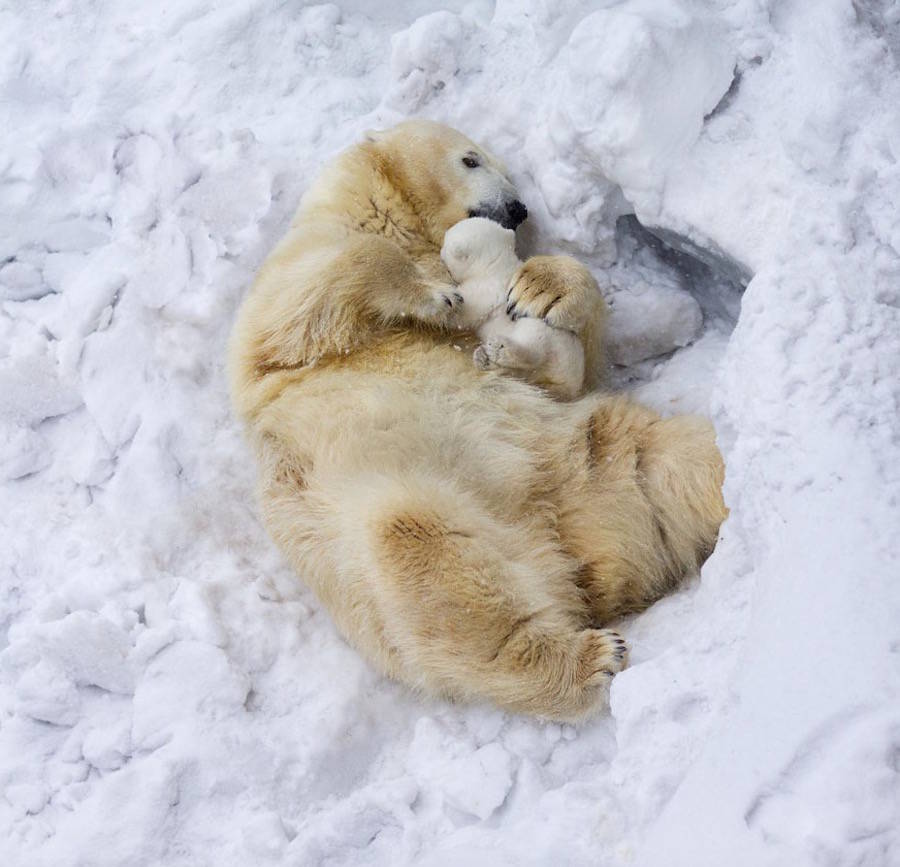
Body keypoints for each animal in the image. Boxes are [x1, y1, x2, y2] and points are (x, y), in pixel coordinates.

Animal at [229, 120, 728, 720]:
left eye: (507, 171)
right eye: (471, 159)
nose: (517, 208)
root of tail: (575, 555)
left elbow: (572, 371)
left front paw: (542, 287)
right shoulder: (293, 280)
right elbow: (305, 301)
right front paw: (434, 294)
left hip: (597, 456)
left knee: (683, 460)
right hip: (401, 511)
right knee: (422, 549)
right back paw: (587, 658)